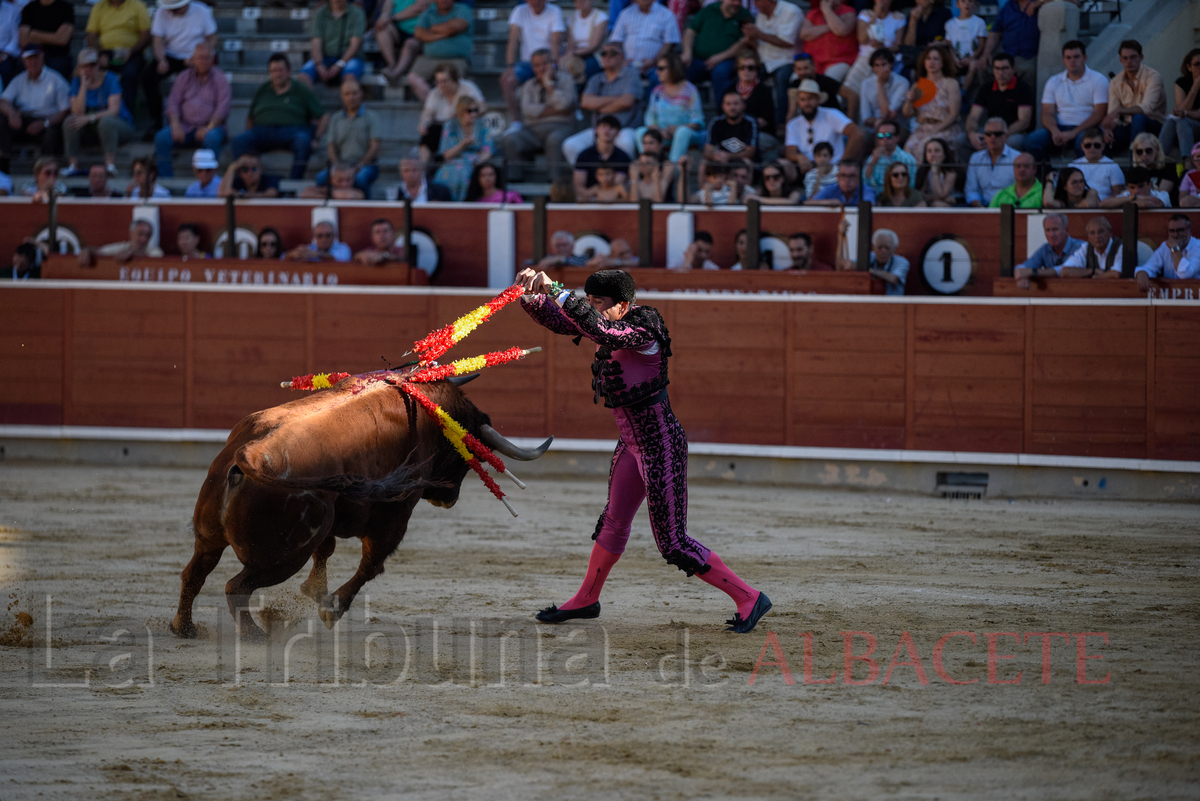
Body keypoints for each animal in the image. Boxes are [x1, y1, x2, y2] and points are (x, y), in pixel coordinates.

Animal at [170, 366, 552, 642]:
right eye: (471, 454)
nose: (449, 498)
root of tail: (247, 453)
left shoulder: (331, 516)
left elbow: (327, 551)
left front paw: (315, 591)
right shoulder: (396, 515)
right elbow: (372, 564)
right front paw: (331, 608)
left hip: (211, 536)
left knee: (195, 573)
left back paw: (184, 628)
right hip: (281, 557)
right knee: (235, 587)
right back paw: (255, 635)